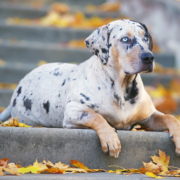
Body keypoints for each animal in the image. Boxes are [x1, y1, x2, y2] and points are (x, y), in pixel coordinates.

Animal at [0, 19, 180, 158]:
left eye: (146, 37)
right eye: (125, 39)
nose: (149, 57)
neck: (122, 88)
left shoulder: (149, 116)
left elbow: (170, 117)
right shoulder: (74, 112)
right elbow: (96, 117)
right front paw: (110, 139)